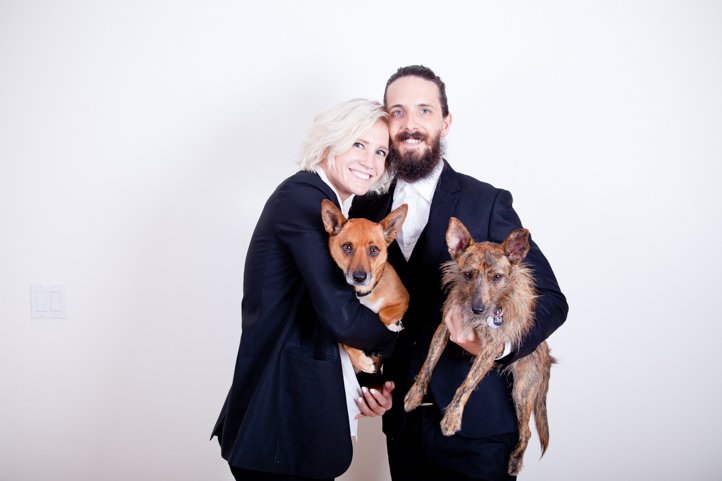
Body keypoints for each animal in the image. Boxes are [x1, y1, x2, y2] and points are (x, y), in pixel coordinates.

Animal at [322, 198, 408, 372]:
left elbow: (384, 314)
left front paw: (394, 326)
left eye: (374, 250)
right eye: (347, 247)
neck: (366, 292)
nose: (359, 278)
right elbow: (346, 340)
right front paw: (360, 360)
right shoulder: (346, 326)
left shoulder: (404, 299)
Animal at [404, 218, 552, 476]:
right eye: (468, 275)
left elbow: (466, 385)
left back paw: (515, 461)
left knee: (526, 431)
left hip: (523, 391)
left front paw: (452, 418)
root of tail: (545, 353)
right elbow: (427, 365)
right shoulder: (444, 328)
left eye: (497, 277)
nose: (478, 309)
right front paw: (414, 395)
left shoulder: (491, 349)